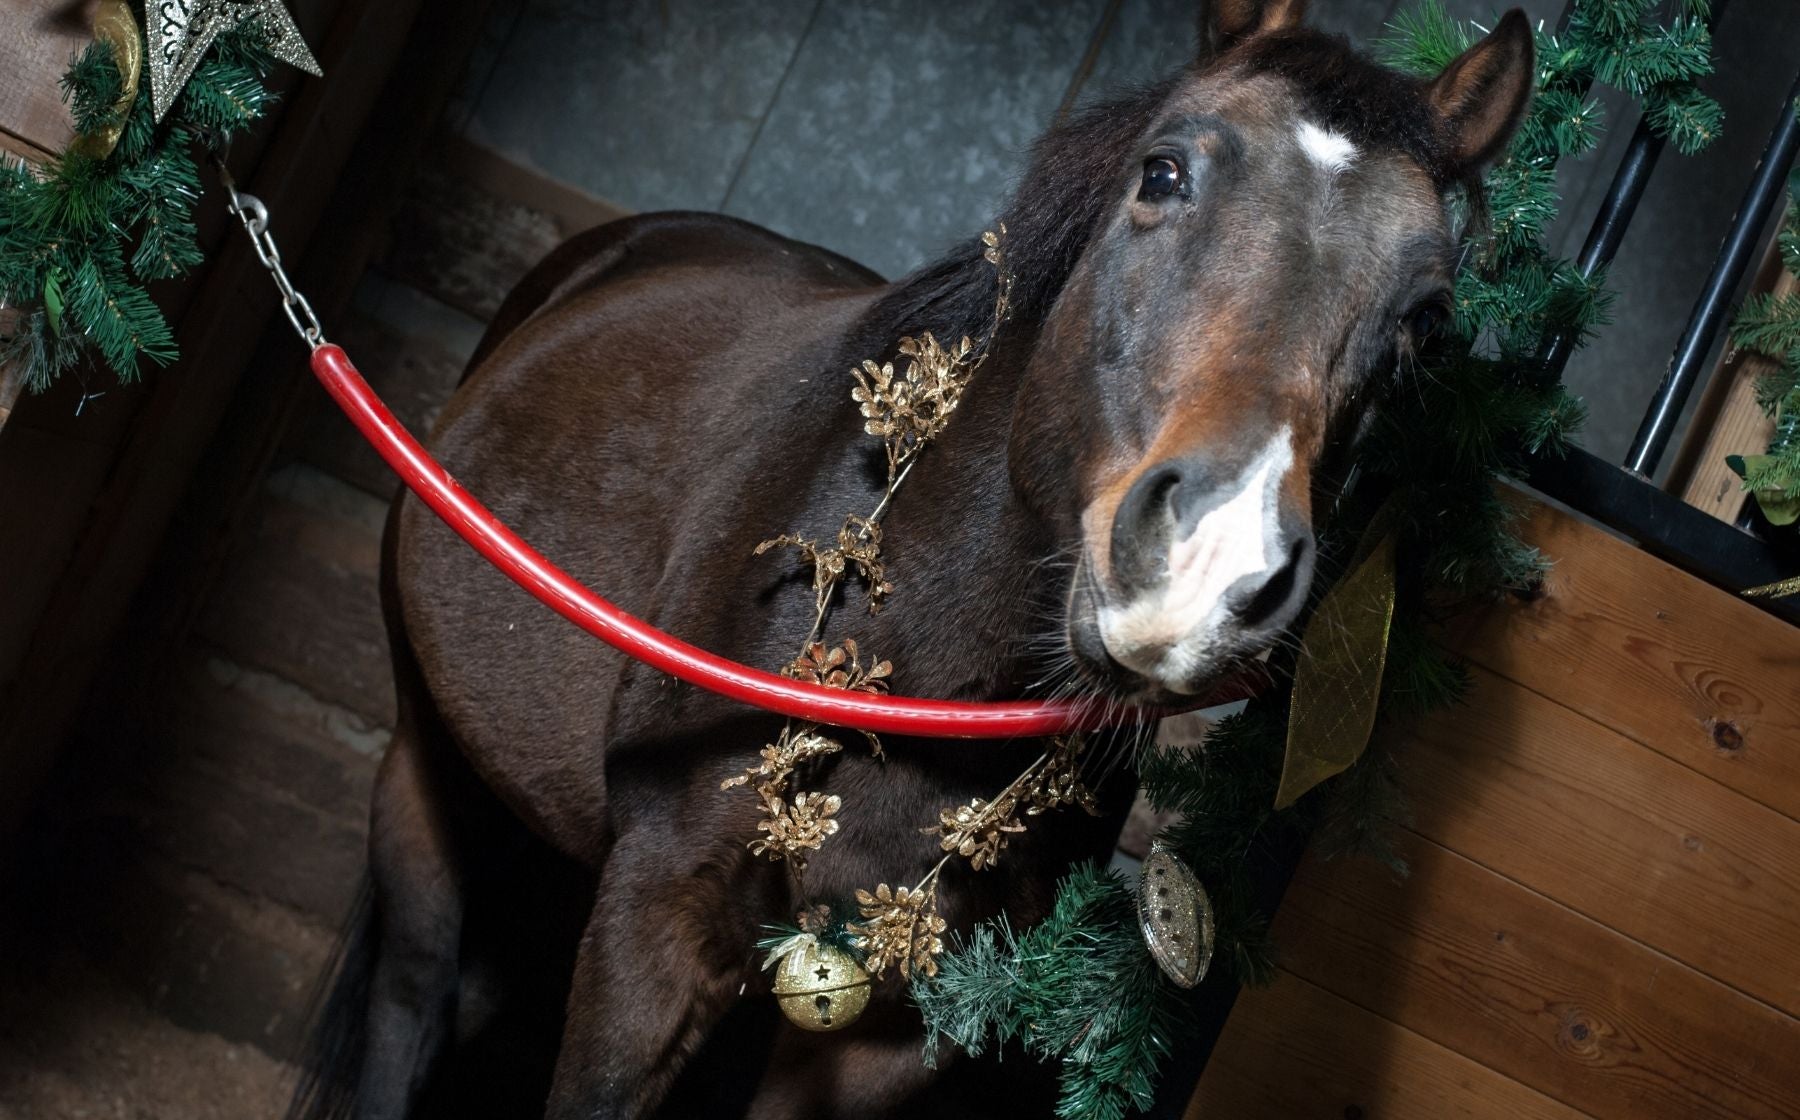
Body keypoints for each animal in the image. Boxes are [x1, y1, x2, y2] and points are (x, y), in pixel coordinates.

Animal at [289, 2, 1533, 1116]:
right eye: (1164, 173)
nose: (1210, 568)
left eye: (1426, 322)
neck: (909, 670)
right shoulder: (654, 924)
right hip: (426, 769)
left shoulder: (888, 1037)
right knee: (410, 1002)